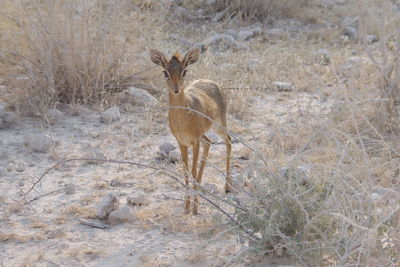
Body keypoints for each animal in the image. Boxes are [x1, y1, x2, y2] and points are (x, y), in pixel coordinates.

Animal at [149, 48, 231, 216]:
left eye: (184, 71)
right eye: (165, 72)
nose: (176, 89)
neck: (183, 117)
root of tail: (212, 82)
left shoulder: (195, 142)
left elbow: (193, 171)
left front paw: (195, 208)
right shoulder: (182, 143)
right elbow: (186, 172)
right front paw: (186, 207)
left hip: (219, 125)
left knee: (228, 141)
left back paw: (227, 187)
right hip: (206, 134)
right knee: (210, 142)